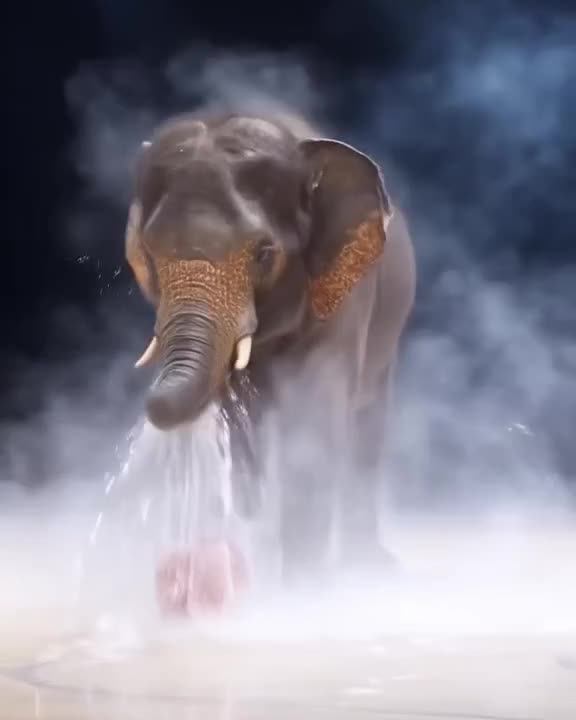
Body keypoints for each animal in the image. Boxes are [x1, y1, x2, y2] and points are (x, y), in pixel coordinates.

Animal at [125, 108, 416, 581]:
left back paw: (369, 564)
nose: (154, 403)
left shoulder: (344, 290)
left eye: (264, 254)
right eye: (149, 254)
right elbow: (243, 429)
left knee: (366, 426)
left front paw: (302, 586)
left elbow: (313, 418)